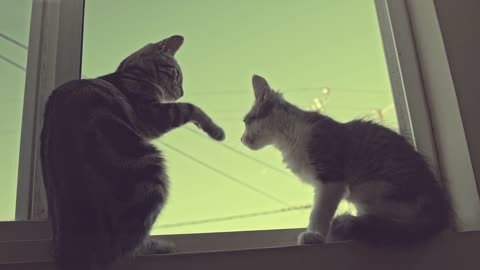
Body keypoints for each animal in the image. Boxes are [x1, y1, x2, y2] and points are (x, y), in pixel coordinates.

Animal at [40, 35, 225, 270]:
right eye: (176, 74)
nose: (181, 91)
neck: (131, 73)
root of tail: (72, 253)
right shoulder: (152, 116)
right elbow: (191, 108)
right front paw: (216, 130)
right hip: (151, 170)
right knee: (123, 249)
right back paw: (157, 245)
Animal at [242, 74, 456, 245]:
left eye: (246, 121)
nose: (241, 139)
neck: (289, 139)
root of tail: (439, 207)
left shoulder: (331, 179)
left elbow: (319, 213)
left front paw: (314, 236)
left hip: (376, 188)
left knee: (396, 223)